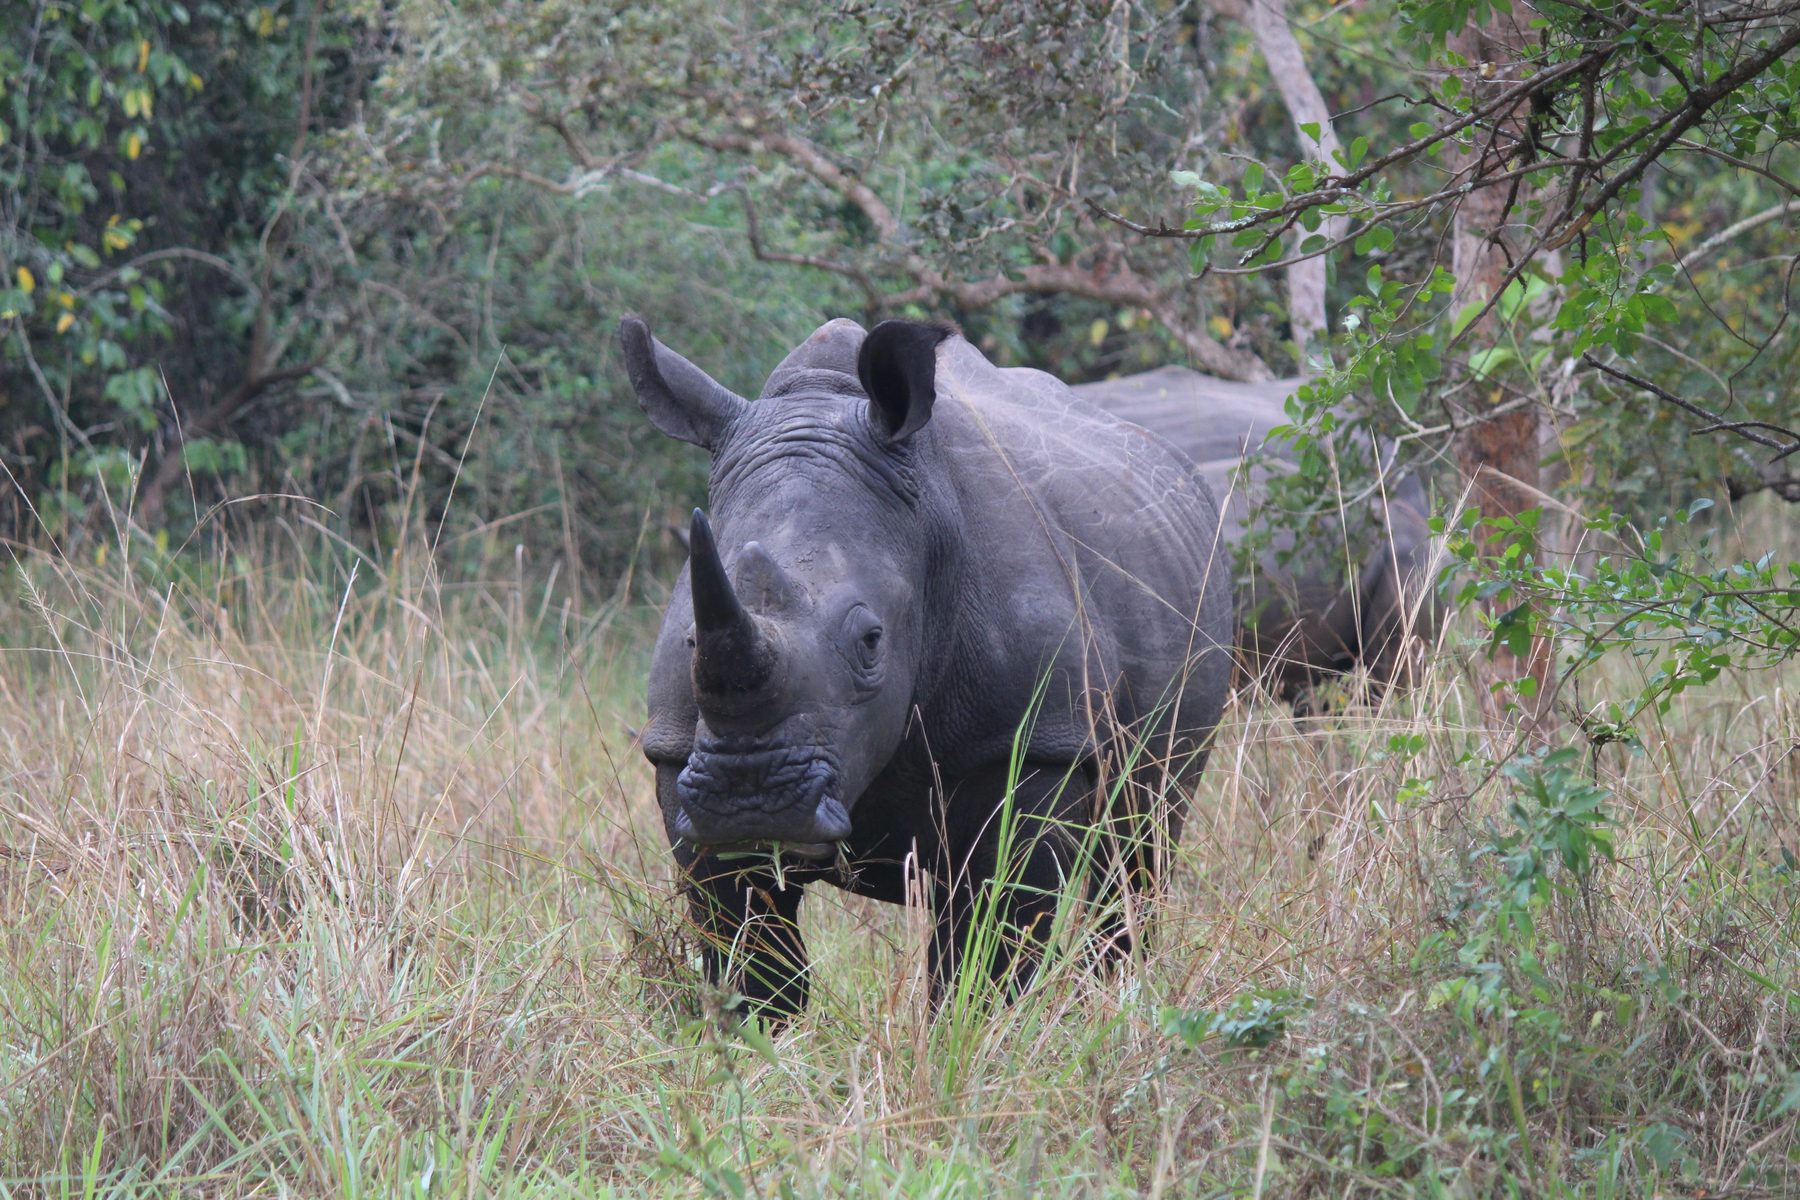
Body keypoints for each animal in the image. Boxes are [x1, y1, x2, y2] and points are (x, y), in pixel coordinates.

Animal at [621, 316, 1233, 1020]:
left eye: (871, 641)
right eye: (692, 640)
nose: (750, 800)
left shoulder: (1032, 740)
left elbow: (989, 946)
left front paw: (976, 1035)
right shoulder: (679, 758)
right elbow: (749, 953)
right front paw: (760, 1037)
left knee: (1139, 848)